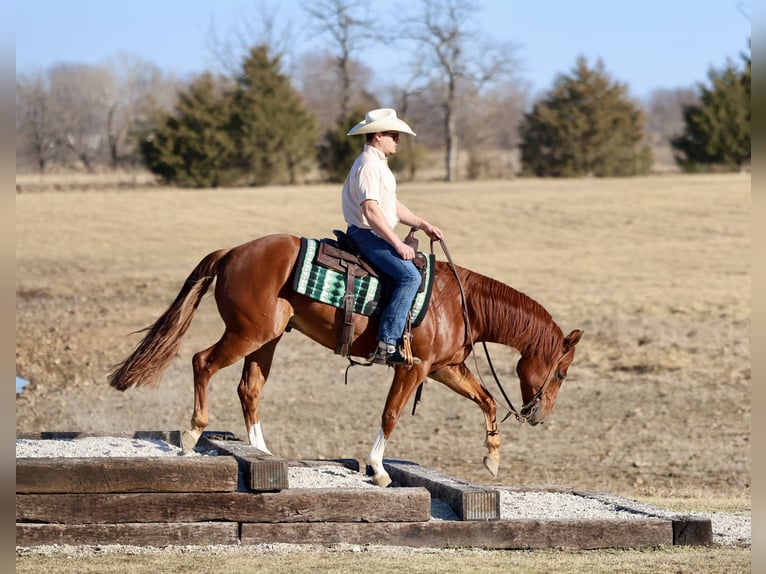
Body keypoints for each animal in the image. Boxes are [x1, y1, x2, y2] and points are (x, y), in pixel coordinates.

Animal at [108, 233, 582, 487]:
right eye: (561, 372)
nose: (539, 416)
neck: (460, 303)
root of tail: (232, 252)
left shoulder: (444, 368)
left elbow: (486, 399)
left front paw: (492, 458)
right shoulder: (412, 367)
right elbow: (391, 414)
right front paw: (378, 469)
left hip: (267, 339)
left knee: (249, 388)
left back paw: (262, 453)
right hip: (247, 334)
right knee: (202, 361)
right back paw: (192, 434)